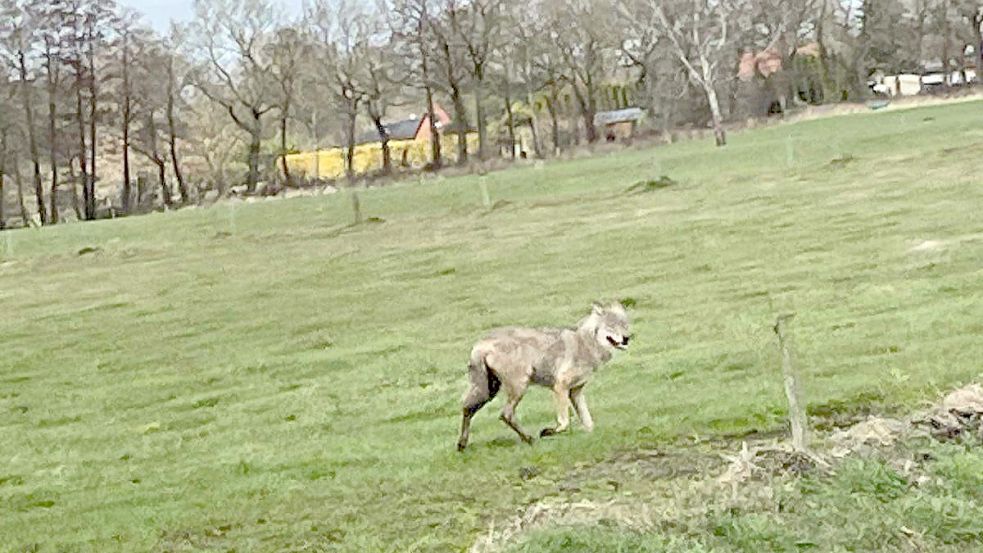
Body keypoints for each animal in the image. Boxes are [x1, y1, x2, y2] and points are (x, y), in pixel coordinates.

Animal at [456, 300, 632, 450]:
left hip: (488, 391)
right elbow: (564, 423)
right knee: (505, 414)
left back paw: (462, 445)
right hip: (517, 388)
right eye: (611, 326)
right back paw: (529, 439)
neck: (586, 344)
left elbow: (589, 423)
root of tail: (479, 344)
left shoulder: (575, 392)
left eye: (625, 325)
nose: (626, 338)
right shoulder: (560, 387)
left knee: (467, 408)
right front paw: (547, 432)